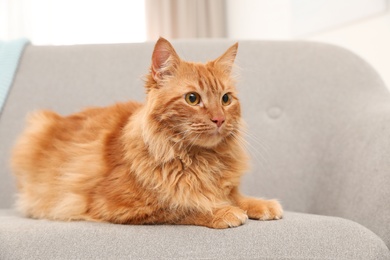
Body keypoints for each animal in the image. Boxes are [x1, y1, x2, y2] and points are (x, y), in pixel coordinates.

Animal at [10, 37, 282, 229]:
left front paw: (262, 205)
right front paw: (224, 211)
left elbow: (236, 196)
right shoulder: (118, 206)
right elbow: (185, 205)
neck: (199, 159)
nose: (219, 119)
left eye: (226, 99)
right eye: (192, 99)